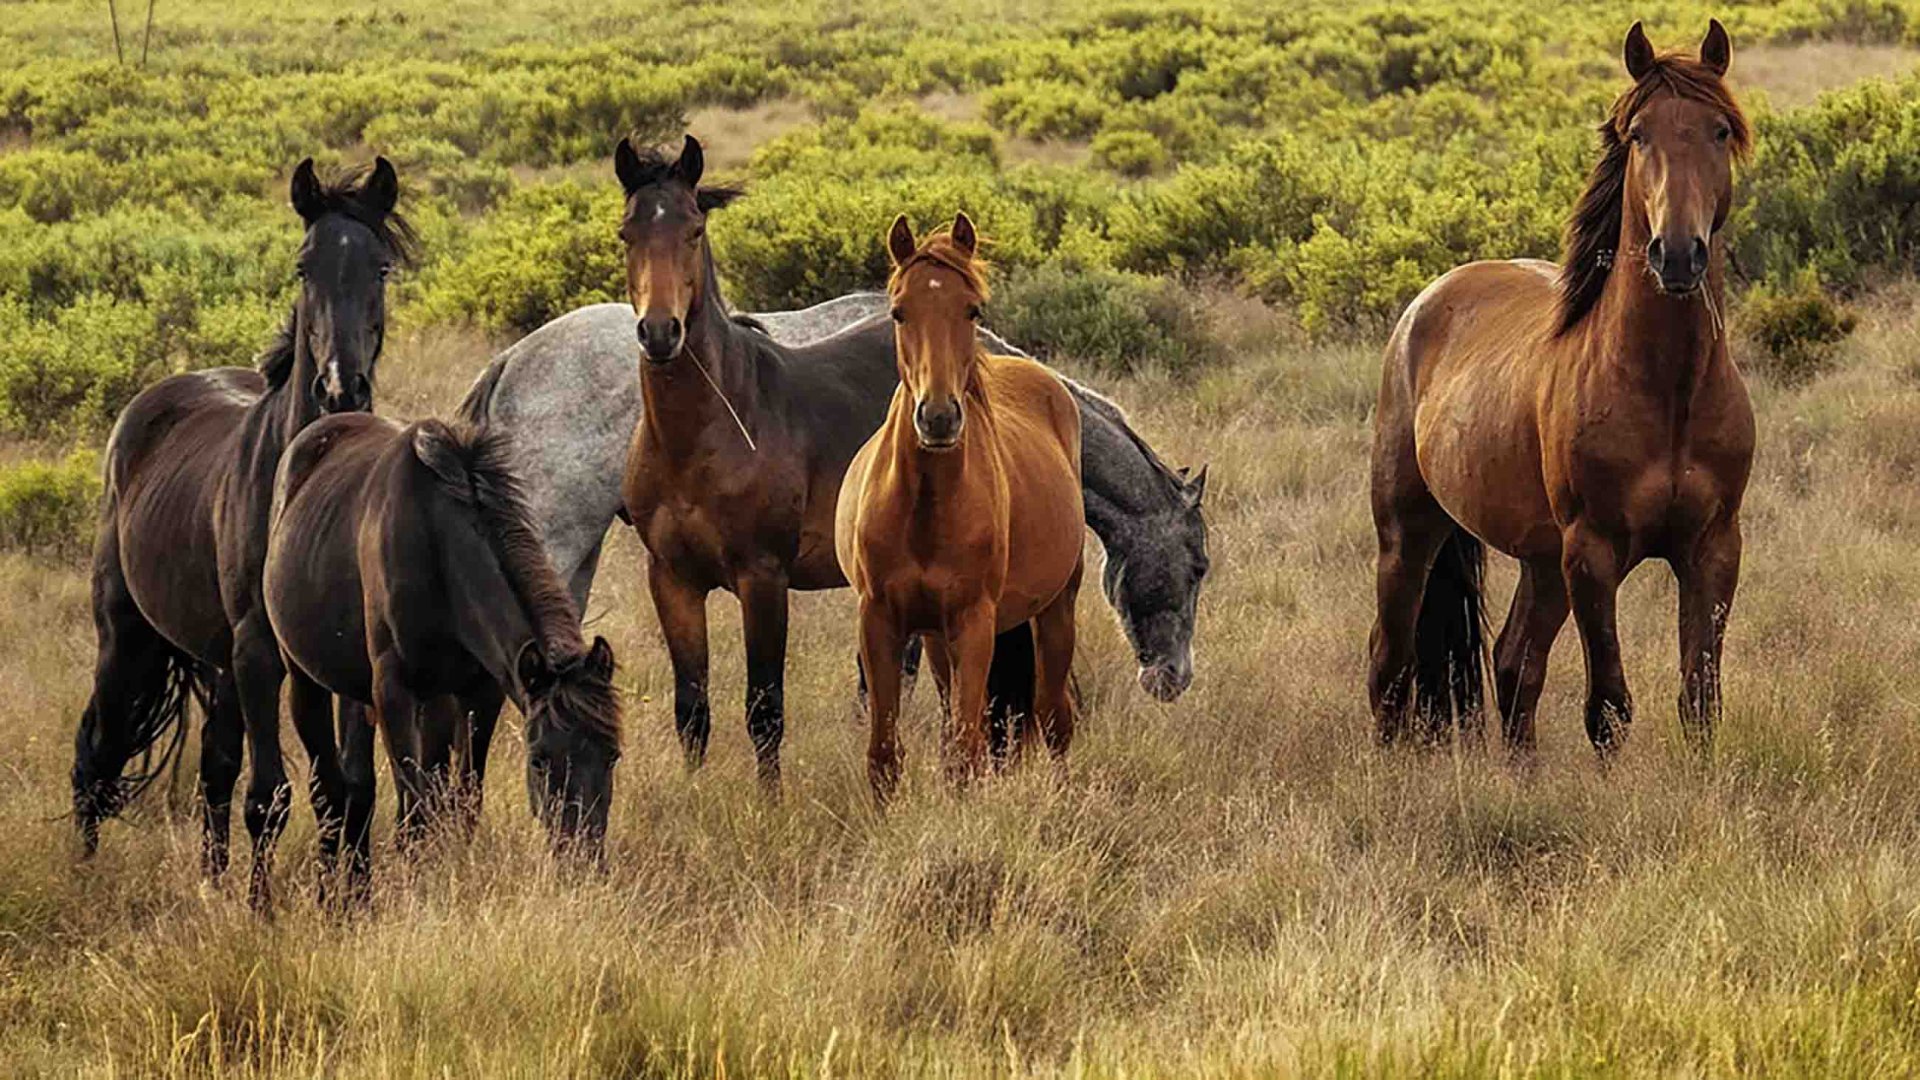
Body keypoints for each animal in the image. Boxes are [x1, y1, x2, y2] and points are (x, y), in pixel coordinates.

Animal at [72, 155, 412, 903]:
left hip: (217, 663)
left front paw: (348, 897)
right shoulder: (259, 651)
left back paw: (211, 878)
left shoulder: (338, 660)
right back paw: (84, 873)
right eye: (304, 265)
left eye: (380, 266)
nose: (342, 389)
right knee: (96, 754)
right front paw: (264, 910)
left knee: (214, 769)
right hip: (128, 640)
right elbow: (273, 794)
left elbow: (348, 787)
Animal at [263, 411, 618, 883]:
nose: (584, 861)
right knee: (330, 793)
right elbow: (413, 813)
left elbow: (462, 801)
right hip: (307, 681)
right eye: (539, 760)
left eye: (613, 756)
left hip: (404, 697)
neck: (438, 546)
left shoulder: (479, 693)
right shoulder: (393, 692)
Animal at [837, 212, 1090, 799]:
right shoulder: (880, 620)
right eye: (899, 311)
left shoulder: (974, 623)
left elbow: (965, 752)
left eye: (971, 308)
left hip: (1055, 610)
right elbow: (884, 754)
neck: (925, 509)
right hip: (936, 638)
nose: (938, 417)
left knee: (1054, 718)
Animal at [1367, 18, 1758, 757]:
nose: (1677, 254)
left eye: (1720, 130)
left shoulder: (1713, 549)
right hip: (1409, 533)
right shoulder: (1593, 555)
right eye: (1639, 135)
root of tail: (1426, 303)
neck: (1667, 390)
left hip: (1541, 560)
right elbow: (1608, 707)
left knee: (1513, 662)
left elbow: (1700, 699)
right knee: (1390, 663)